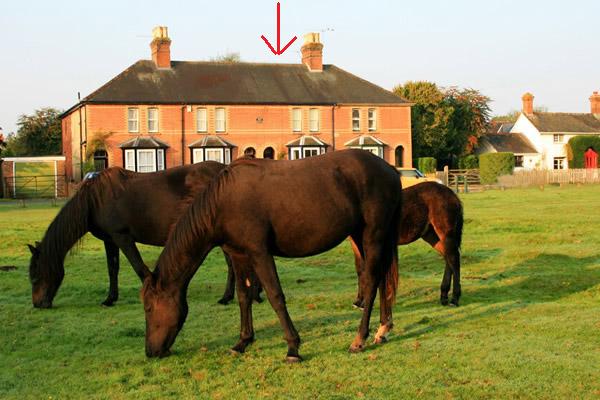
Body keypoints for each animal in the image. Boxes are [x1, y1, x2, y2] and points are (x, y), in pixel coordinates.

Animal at [142, 148, 400, 360]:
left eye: (148, 308)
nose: (150, 351)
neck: (224, 202)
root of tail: (390, 170)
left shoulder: (260, 253)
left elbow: (275, 296)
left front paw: (293, 347)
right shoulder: (239, 256)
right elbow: (243, 296)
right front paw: (242, 341)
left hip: (373, 236)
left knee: (371, 280)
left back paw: (360, 338)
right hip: (362, 236)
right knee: (380, 280)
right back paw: (382, 329)